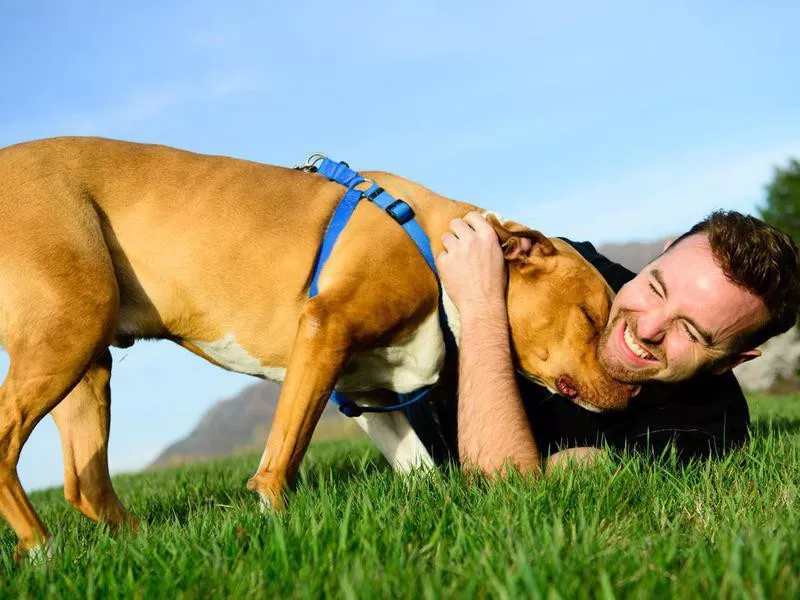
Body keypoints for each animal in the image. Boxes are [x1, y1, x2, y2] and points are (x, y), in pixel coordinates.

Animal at [1, 137, 636, 556]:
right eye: (591, 315)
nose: (631, 392)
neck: (435, 245)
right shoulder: (324, 331)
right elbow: (281, 462)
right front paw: (276, 525)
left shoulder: (369, 394)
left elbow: (423, 470)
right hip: (69, 333)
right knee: (9, 447)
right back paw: (42, 550)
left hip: (88, 363)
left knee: (85, 485)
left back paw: (146, 546)